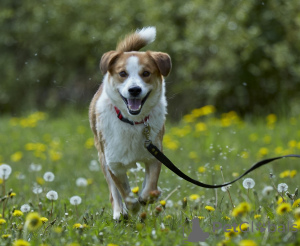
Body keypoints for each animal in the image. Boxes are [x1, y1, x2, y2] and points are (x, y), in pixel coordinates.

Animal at [89, 26, 171, 219]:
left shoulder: (154, 154)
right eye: (123, 74)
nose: (134, 89)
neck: (131, 122)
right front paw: (131, 207)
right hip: (102, 157)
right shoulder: (113, 163)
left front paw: (148, 197)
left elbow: (150, 188)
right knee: (113, 193)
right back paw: (120, 213)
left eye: (146, 73)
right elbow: (124, 193)